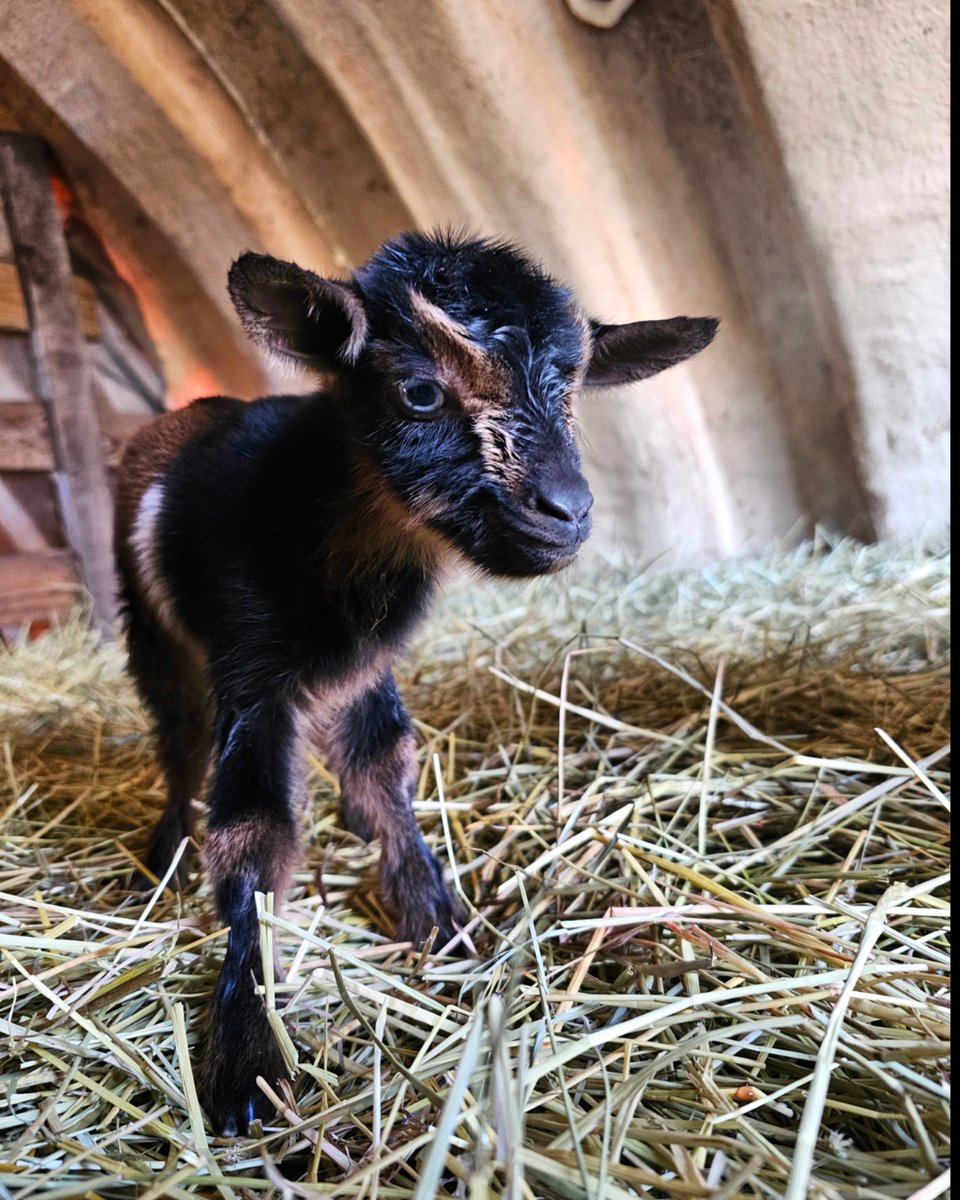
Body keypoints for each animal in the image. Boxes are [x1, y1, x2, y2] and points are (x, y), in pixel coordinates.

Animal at [113, 231, 717, 1135]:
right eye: (420, 391)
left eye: (571, 393)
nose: (567, 511)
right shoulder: (252, 672)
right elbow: (255, 832)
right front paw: (248, 1057)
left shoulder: (367, 669)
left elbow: (383, 768)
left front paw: (442, 921)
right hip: (150, 625)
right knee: (177, 727)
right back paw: (166, 853)